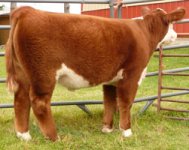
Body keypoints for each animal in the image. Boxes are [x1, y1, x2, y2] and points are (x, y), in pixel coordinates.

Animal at [5, 6, 185, 141]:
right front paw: (126, 131)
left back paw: (24, 136)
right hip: (43, 73)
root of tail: (27, 11)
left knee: (20, 100)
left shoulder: (112, 79)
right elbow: (126, 103)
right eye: (172, 24)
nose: (176, 35)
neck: (144, 33)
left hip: (23, 73)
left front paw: (107, 129)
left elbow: (109, 102)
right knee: (39, 103)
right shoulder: (132, 74)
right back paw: (54, 137)